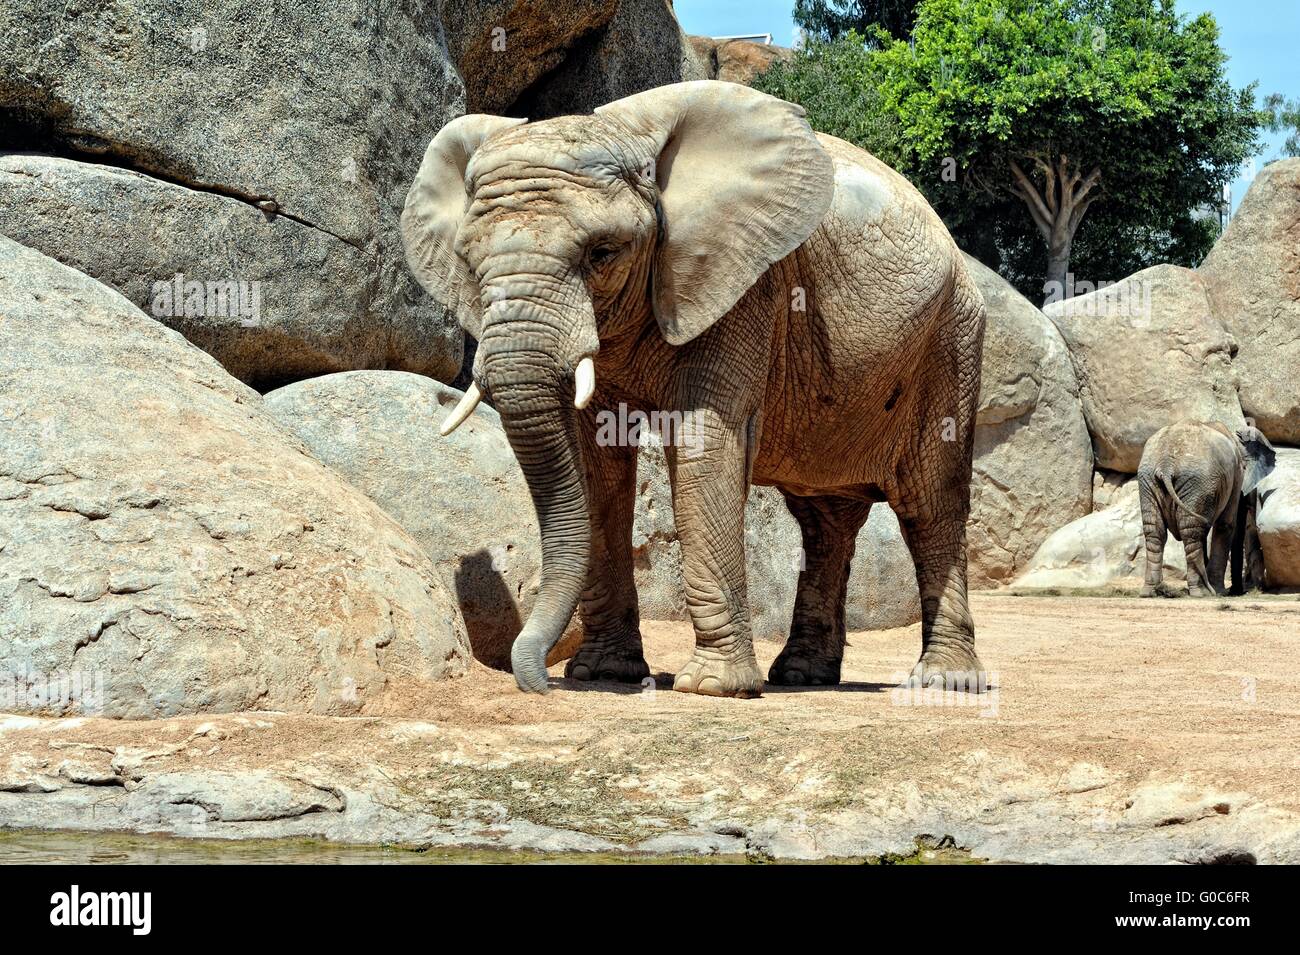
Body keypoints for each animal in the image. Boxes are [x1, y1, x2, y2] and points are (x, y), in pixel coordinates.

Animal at [401, 81, 987, 697]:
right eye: (467, 263)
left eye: (602, 254)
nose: (537, 684)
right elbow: (597, 464)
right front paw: (603, 673)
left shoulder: (744, 284)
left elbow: (705, 444)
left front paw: (713, 687)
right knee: (824, 520)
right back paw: (802, 674)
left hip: (951, 339)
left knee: (930, 504)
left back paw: (943, 682)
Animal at [1136, 421, 1275, 597]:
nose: (1237, 591)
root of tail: (1166, 465)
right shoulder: (1236, 475)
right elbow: (1226, 525)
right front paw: (1219, 591)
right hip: (1196, 482)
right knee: (1191, 531)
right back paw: (1203, 591)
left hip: (1151, 480)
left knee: (1157, 531)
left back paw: (1151, 591)